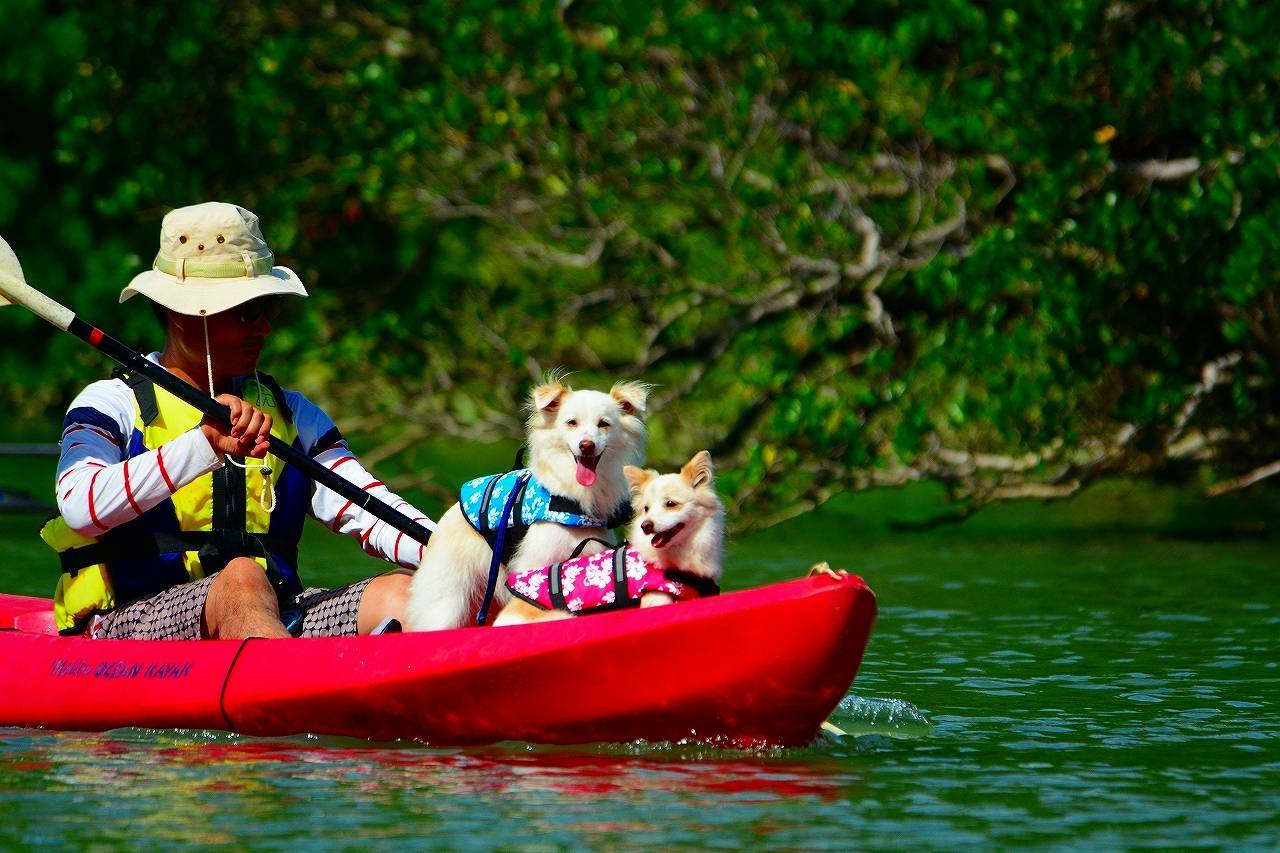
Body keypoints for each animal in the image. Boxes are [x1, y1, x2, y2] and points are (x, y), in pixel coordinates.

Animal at [407, 376, 650, 627]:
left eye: (604, 424)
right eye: (571, 423)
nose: (586, 445)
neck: (573, 502)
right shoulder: (532, 567)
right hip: (446, 602)